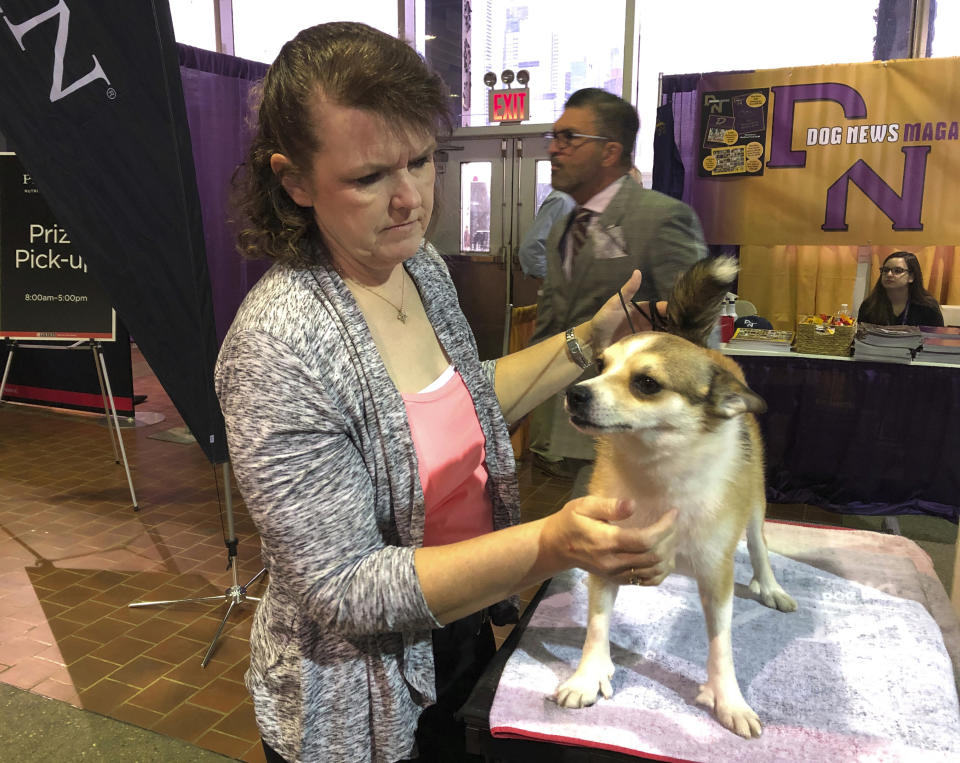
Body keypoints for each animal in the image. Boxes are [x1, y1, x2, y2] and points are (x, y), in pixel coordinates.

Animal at [552, 256, 800, 740]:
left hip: (755, 500)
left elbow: (721, 644)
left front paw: (728, 698)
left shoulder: (717, 576)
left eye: (646, 383)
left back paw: (770, 586)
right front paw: (589, 674)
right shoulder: (602, 553)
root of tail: (701, 346)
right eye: (600, 364)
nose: (575, 393)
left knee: (759, 544)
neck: (656, 470)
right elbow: (596, 624)